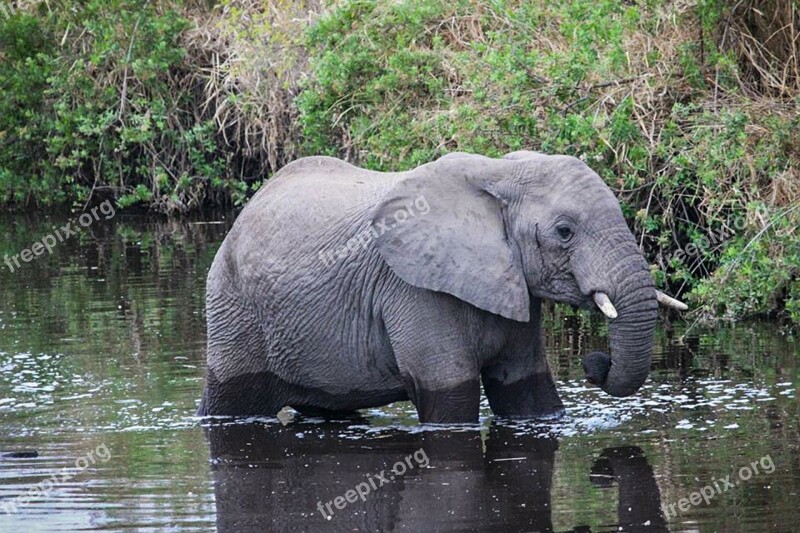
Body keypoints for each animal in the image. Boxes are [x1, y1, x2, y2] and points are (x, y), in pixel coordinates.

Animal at [197, 152, 684, 422]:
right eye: (564, 232)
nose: (594, 363)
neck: (499, 175)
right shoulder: (413, 290)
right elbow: (451, 398)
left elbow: (527, 393)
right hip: (233, 307)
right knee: (228, 402)